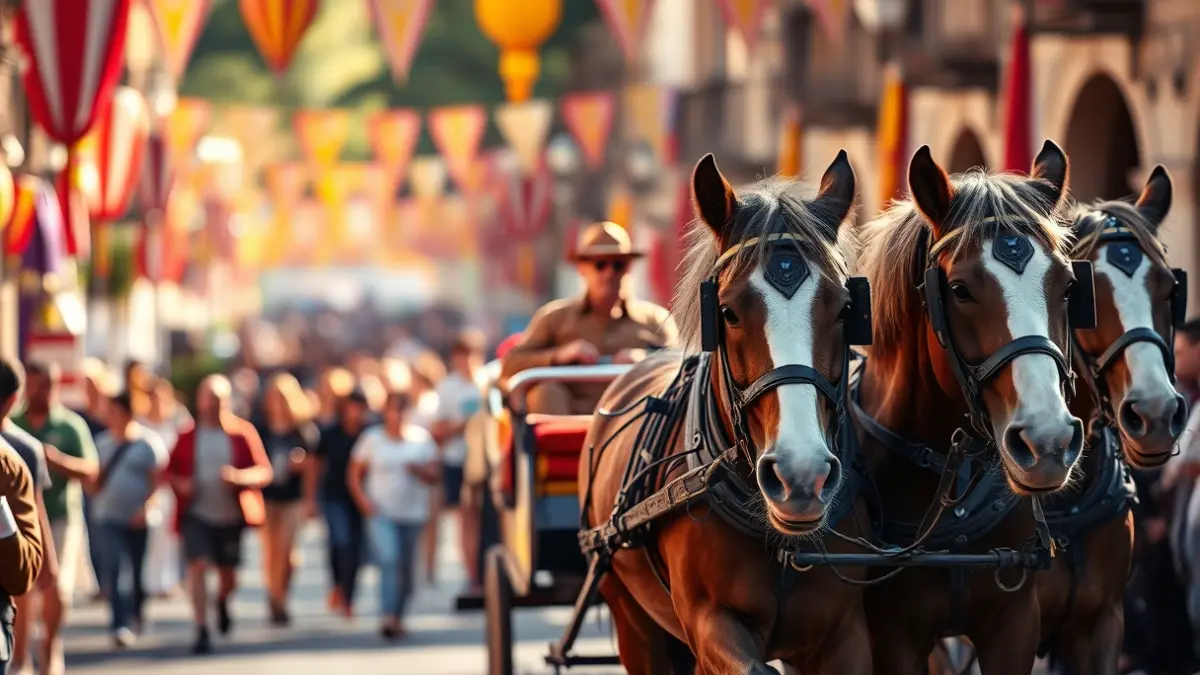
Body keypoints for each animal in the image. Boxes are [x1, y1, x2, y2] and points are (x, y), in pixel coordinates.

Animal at [578, 150, 874, 674]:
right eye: (729, 313)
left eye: (845, 308)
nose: (802, 476)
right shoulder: (709, 624)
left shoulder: (845, 637)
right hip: (633, 619)